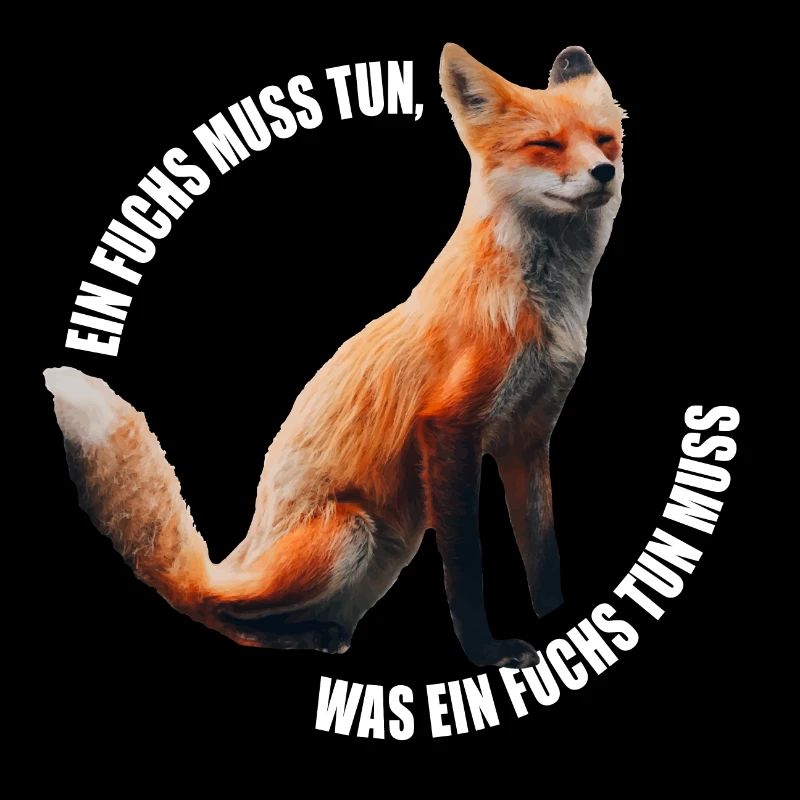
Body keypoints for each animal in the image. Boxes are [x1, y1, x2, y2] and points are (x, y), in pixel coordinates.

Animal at [45, 43, 625, 668]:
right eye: (546, 145)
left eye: (604, 140)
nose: (604, 172)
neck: (542, 307)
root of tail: (236, 563)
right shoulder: (450, 428)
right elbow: (466, 569)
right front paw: (486, 653)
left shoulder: (528, 436)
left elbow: (543, 553)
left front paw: (558, 618)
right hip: (349, 535)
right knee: (212, 609)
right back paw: (302, 638)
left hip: (385, 552)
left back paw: (322, 630)